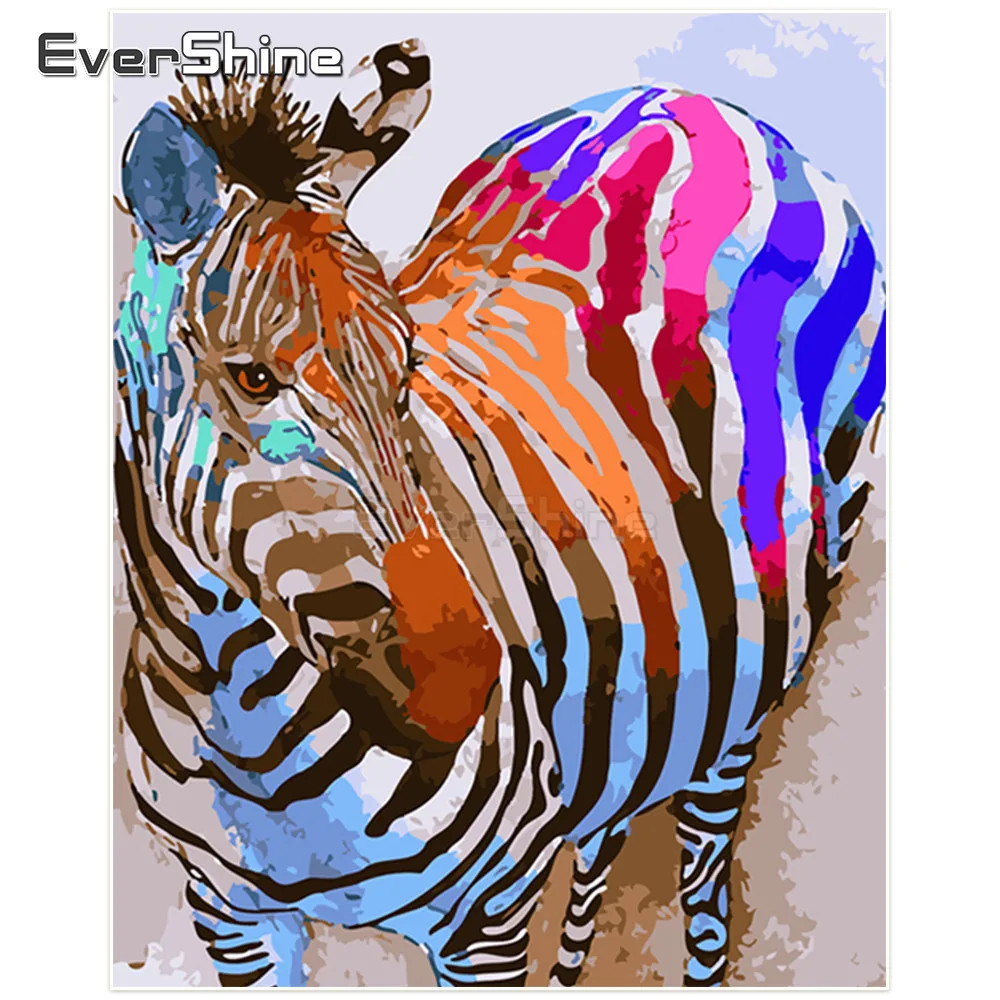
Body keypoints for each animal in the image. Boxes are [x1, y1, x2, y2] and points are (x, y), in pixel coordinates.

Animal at [114, 38, 885, 988]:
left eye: (407, 367)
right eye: (254, 377)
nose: (467, 683)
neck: (241, 719)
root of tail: (695, 103)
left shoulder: (486, 921)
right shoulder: (231, 919)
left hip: (750, 687)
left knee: (706, 890)